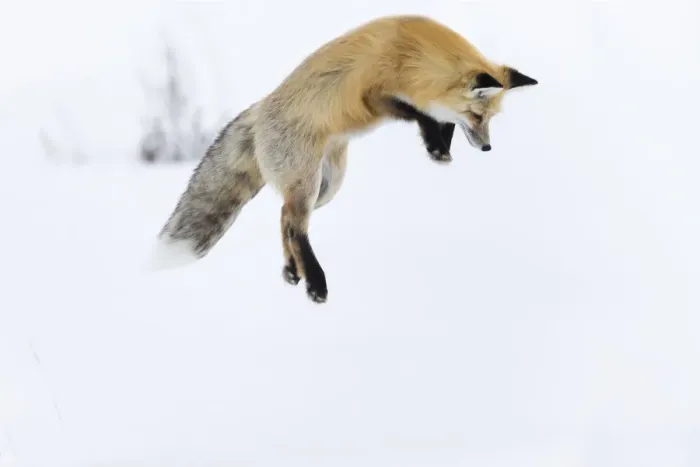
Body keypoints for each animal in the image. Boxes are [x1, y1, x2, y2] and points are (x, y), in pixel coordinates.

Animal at [153, 14, 538, 303]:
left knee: (285, 218)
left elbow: (436, 117)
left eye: (489, 119)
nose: (487, 149)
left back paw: (292, 271)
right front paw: (435, 143)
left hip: (327, 185)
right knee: (295, 226)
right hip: (308, 183)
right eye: (477, 116)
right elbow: (420, 113)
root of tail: (259, 110)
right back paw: (315, 283)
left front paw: (440, 145)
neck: (411, 52)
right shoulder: (374, 96)